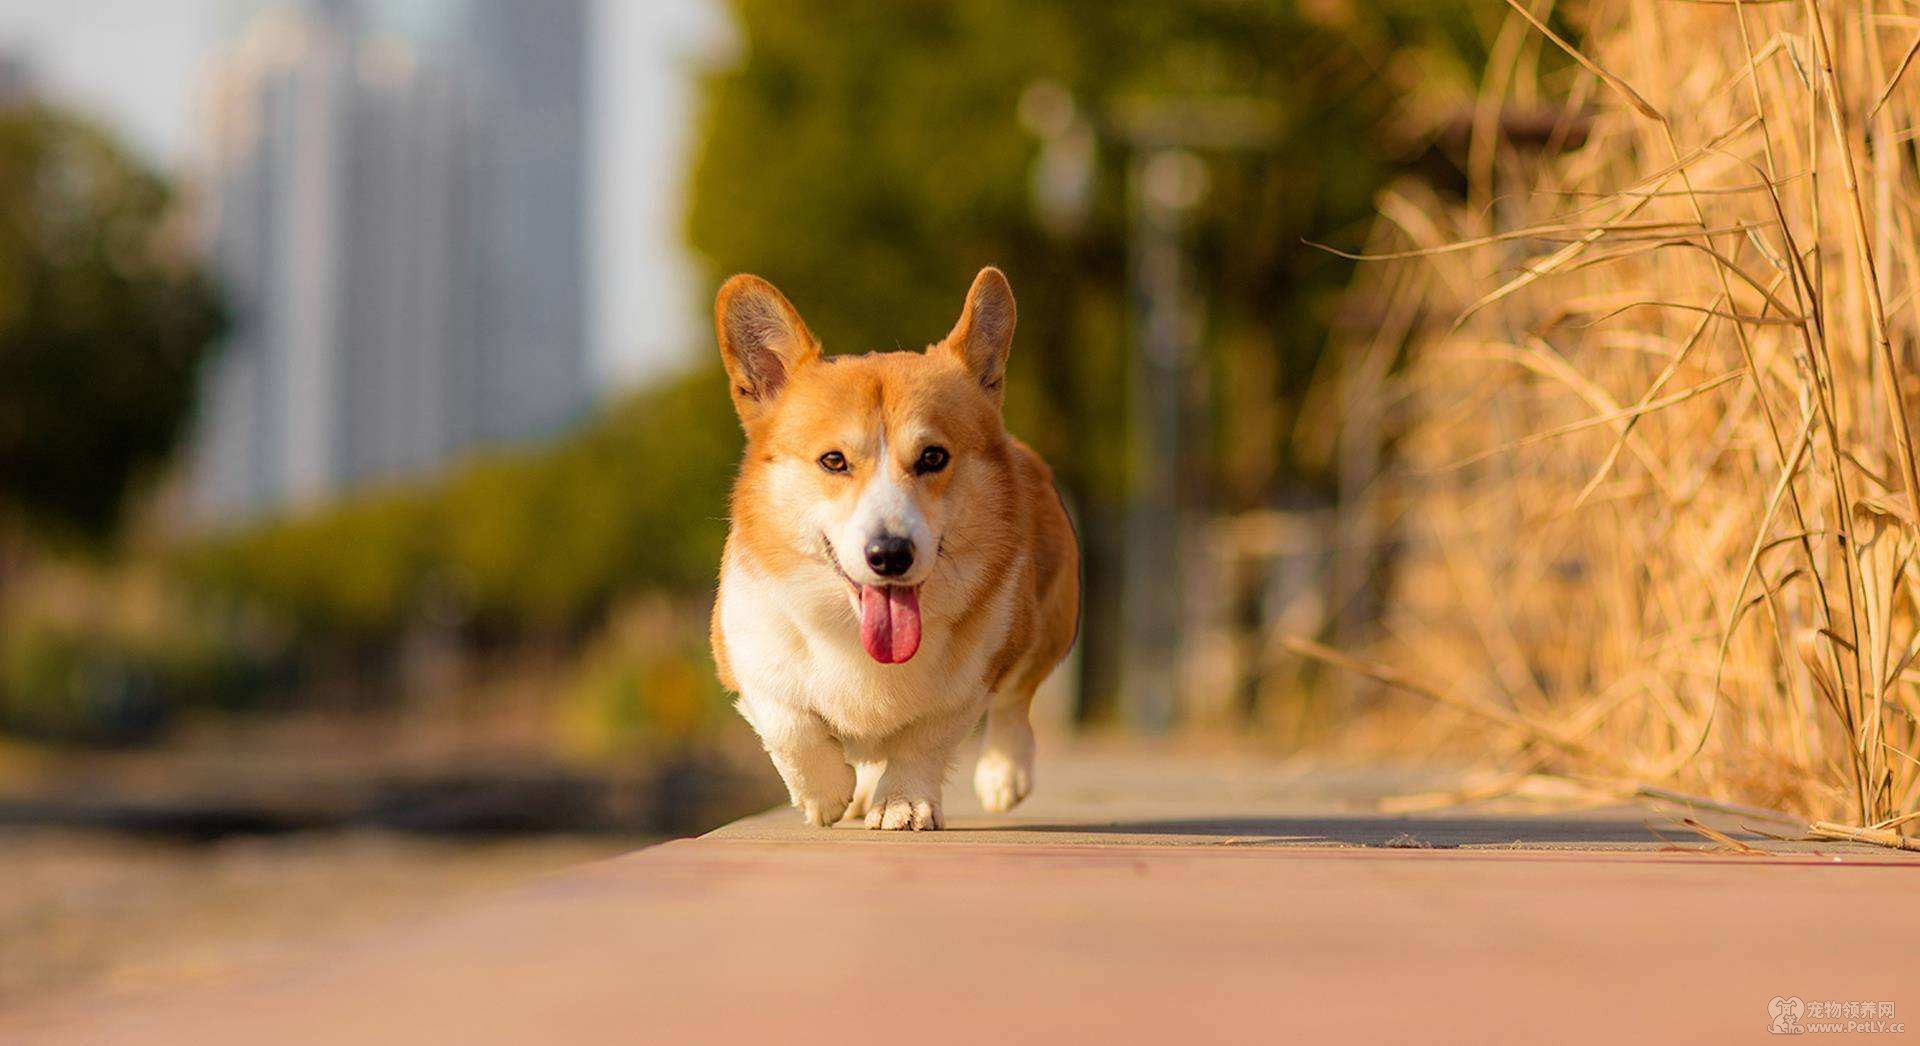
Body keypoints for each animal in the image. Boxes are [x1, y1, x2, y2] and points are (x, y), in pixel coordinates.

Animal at [718, 268, 1090, 832]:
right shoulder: (745, 657)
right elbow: (790, 723)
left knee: (1015, 699)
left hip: (1048, 624)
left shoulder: (971, 679)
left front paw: (904, 803)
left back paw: (1003, 773)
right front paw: (826, 794)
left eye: (933, 457)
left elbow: (925, 738)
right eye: (833, 461)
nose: (890, 555)